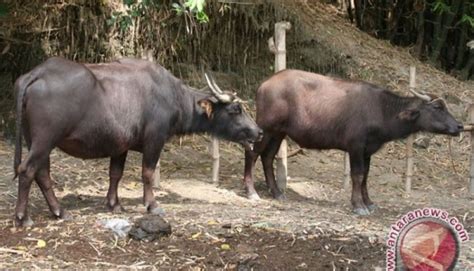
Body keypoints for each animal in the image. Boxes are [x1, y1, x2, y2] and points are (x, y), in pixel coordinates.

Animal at [12, 57, 262, 227]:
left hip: (33, 140)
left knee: (42, 173)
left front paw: (114, 204)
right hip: (45, 139)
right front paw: (152, 205)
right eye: (236, 109)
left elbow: (115, 174)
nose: (258, 131)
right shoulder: (155, 140)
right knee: (27, 170)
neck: (172, 97)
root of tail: (37, 74)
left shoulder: (119, 147)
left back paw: (59, 212)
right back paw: (23, 217)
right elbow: (148, 173)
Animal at [244, 69, 462, 216]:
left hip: (279, 132)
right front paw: (358, 205)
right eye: (437, 107)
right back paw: (251, 192)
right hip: (265, 128)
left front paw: (369, 202)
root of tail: (264, 85)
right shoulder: (355, 146)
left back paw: (276, 192)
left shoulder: (368, 150)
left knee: (267, 156)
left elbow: (365, 176)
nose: (459, 126)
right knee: (252, 153)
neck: (382, 110)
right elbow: (357, 175)